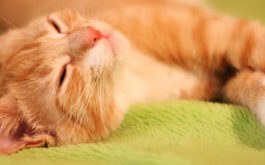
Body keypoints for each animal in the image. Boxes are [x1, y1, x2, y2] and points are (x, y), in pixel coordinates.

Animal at [0, 0, 264, 154]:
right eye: (63, 76)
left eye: (56, 26)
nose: (93, 34)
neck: (139, 75)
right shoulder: (223, 84)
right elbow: (244, 83)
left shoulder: (224, 31)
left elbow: (256, 45)